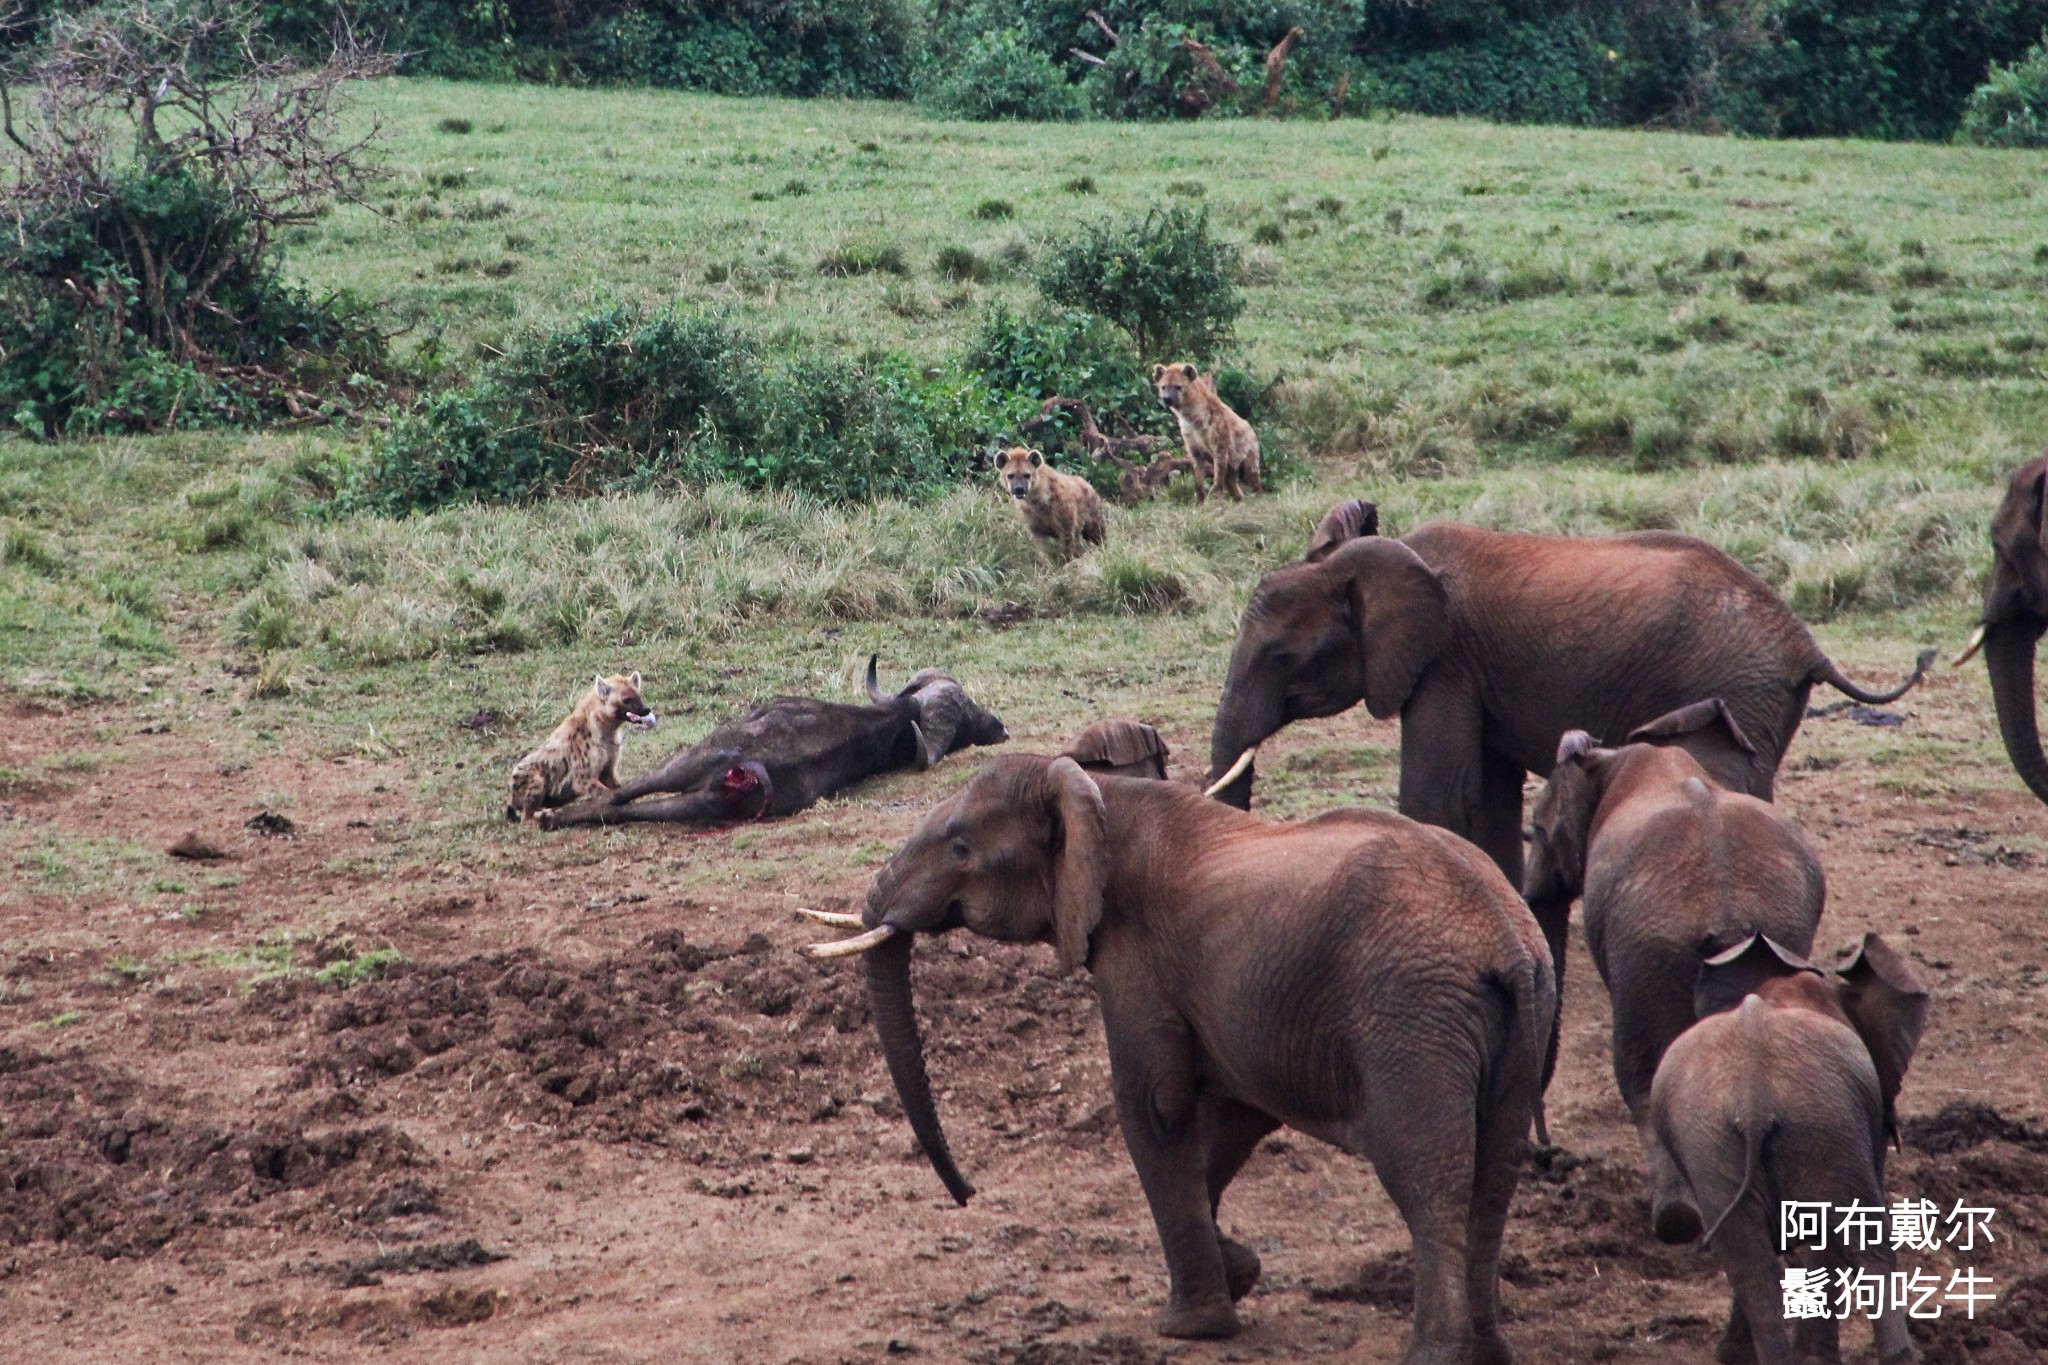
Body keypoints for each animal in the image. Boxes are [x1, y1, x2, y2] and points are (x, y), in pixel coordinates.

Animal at [798, 753, 1548, 1358]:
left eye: (960, 846)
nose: (967, 1195)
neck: (1098, 794)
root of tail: (1507, 940)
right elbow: (1232, 1115)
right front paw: (1238, 1271)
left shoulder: (1135, 953)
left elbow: (1154, 1107)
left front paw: (1190, 1327)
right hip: (1519, 1023)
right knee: (1495, 1173)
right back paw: (1489, 1350)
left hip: (1410, 1019)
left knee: (1428, 1177)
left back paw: (1438, 1354)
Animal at [1204, 501, 1925, 888]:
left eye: (1280, 657)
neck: (1369, 558)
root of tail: (1805, 642)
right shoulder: (1477, 670)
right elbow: (1488, 796)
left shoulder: (1444, 660)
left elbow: (1440, 790)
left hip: (1738, 685)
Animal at [1523, 699, 1826, 1244]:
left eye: (1535, 829)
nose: (1546, 1154)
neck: (1617, 756)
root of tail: (1727, 912)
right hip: (1777, 934)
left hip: (1646, 949)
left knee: (1643, 1071)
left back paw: (1677, 1220)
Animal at [1654, 933, 1925, 1365]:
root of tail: (1754, 1096)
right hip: (1822, 1120)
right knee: (1865, 1243)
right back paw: (1896, 1357)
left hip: (1710, 1137)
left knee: (1750, 1263)